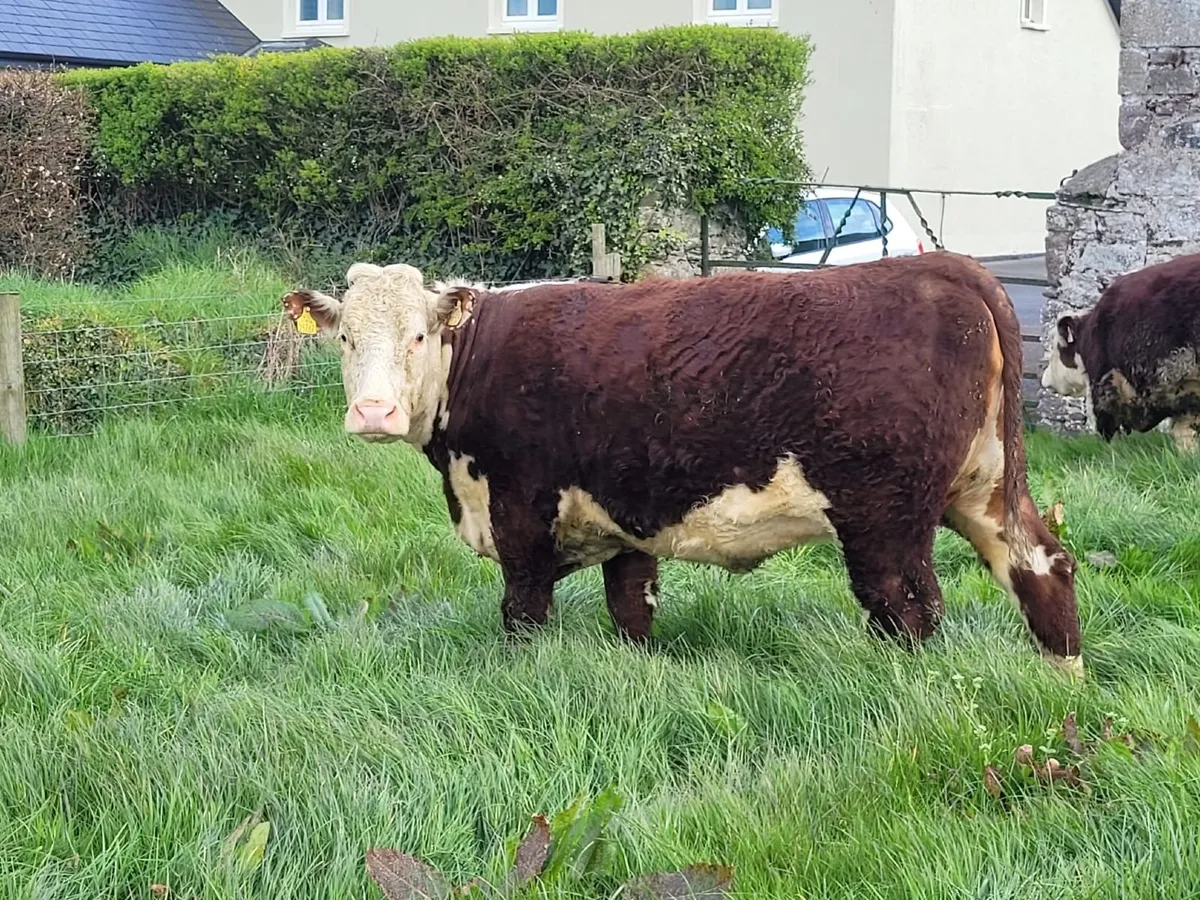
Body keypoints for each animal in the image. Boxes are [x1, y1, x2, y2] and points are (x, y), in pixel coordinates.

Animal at [283, 253, 1083, 677]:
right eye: (345, 338)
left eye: (417, 336)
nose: (374, 413)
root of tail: (938, 266)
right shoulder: (621, 524)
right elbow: (632, 610)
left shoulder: (521, 513)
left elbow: (523, 613)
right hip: (981, 488)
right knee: (1043, 563)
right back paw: (1064, 680)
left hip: (883, 519)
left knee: (909, 610)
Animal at [1041, 252, 1200, 452]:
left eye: (1056, 348)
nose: (1044, 379)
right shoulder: (1187, 397)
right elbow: (1185, 435)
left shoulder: (1105, 387)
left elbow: (1110, 432)